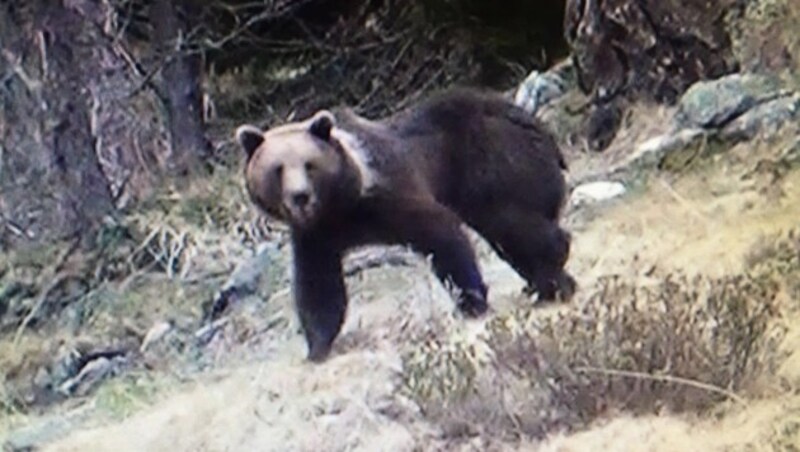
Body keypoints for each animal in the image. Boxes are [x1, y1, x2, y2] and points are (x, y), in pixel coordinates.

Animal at [236, 88, 576, 362]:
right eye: (278, 169)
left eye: (309, 164)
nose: (300, 196)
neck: (342, 204)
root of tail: (534, 122)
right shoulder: (316, 234)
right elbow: (317, 285)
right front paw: (317, 346)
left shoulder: (389, 194)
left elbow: (441, 233)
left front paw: (471, 301)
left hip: (493, 162)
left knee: (514, 223)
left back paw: (553, 277)